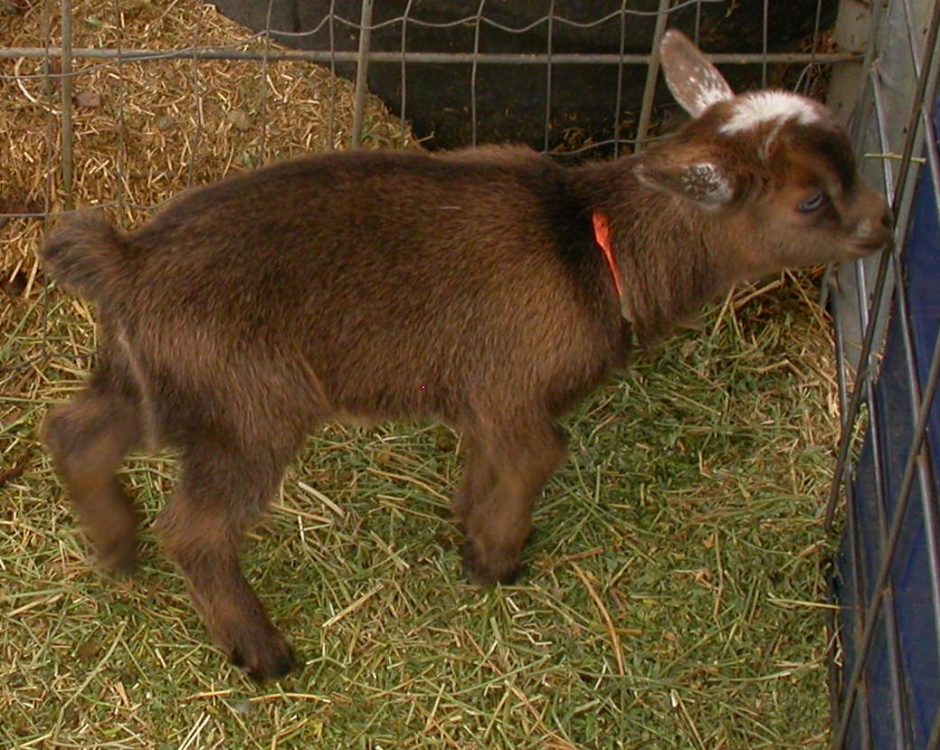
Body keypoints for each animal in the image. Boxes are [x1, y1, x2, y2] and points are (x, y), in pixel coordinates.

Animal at [40, 31, 892, 681]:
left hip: (157, 382)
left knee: (75, 433)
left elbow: (486, 462)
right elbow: (537, 459)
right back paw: (261, 649)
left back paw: (117, 546)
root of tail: (128, 262)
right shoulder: (517, 393)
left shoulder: (487, 397)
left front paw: (466, 528)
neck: (589, 245)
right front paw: (497, 562)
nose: (883, 224)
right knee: (196, 528)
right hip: (248, 411)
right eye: (811, 199)